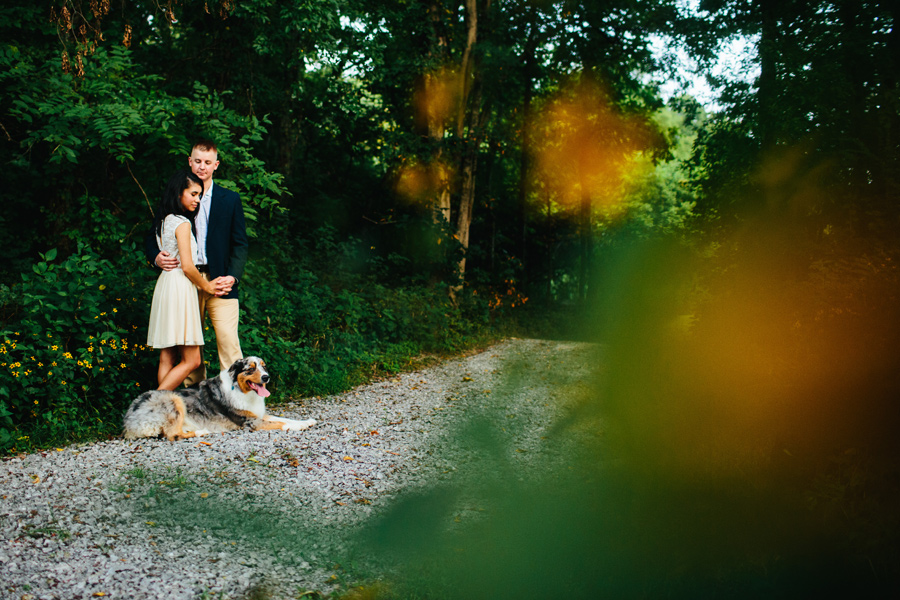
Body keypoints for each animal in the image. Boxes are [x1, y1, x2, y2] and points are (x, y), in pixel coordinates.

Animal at [121, 356, 314, 440]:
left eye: (264, 367)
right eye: (251, 369)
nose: (266, 377)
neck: (243, 391)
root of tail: (128, 421)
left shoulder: (258, 414)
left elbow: (283, 418)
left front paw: (306, 421)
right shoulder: (251, 422)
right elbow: (280, 423)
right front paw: (298, 426)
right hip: (174, 399)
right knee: (172, 435)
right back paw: (202, 432)